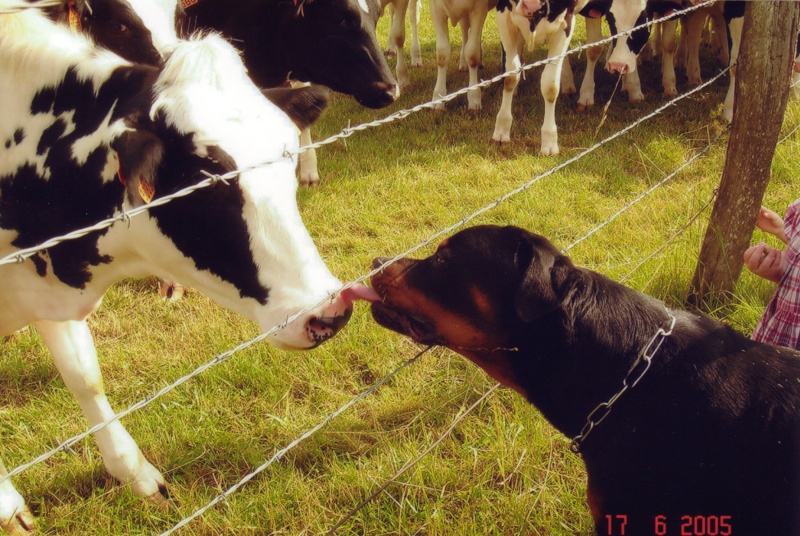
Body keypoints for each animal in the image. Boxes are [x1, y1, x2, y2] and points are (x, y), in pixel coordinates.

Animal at [0, 4, 372, 532]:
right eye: (207, 184)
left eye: (288, 159)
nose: (330, 313)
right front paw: (10, 508)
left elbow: (84, 376)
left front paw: (136, 475)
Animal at [490, 0, 592, 155]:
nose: (531, 6)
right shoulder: (503, 13)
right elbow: (511, 76)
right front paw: (502, 129)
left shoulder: (566, 21)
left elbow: (550, 85)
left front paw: (549, 141)